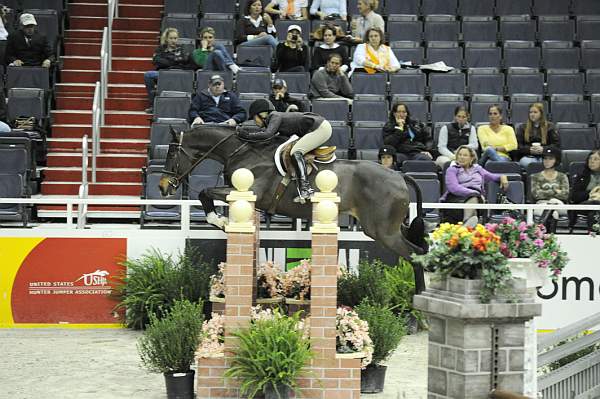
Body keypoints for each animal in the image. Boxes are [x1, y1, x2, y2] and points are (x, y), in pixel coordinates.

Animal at [159, 126, 428, 294]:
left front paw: (219, 221)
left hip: (382, 231)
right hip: (392, 228)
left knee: (416, 255)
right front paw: (222, 221)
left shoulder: (251, 191)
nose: (163, 187)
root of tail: (400, 175)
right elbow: (207, 194)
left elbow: (205, 193)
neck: (243, 152)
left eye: (171, 153)